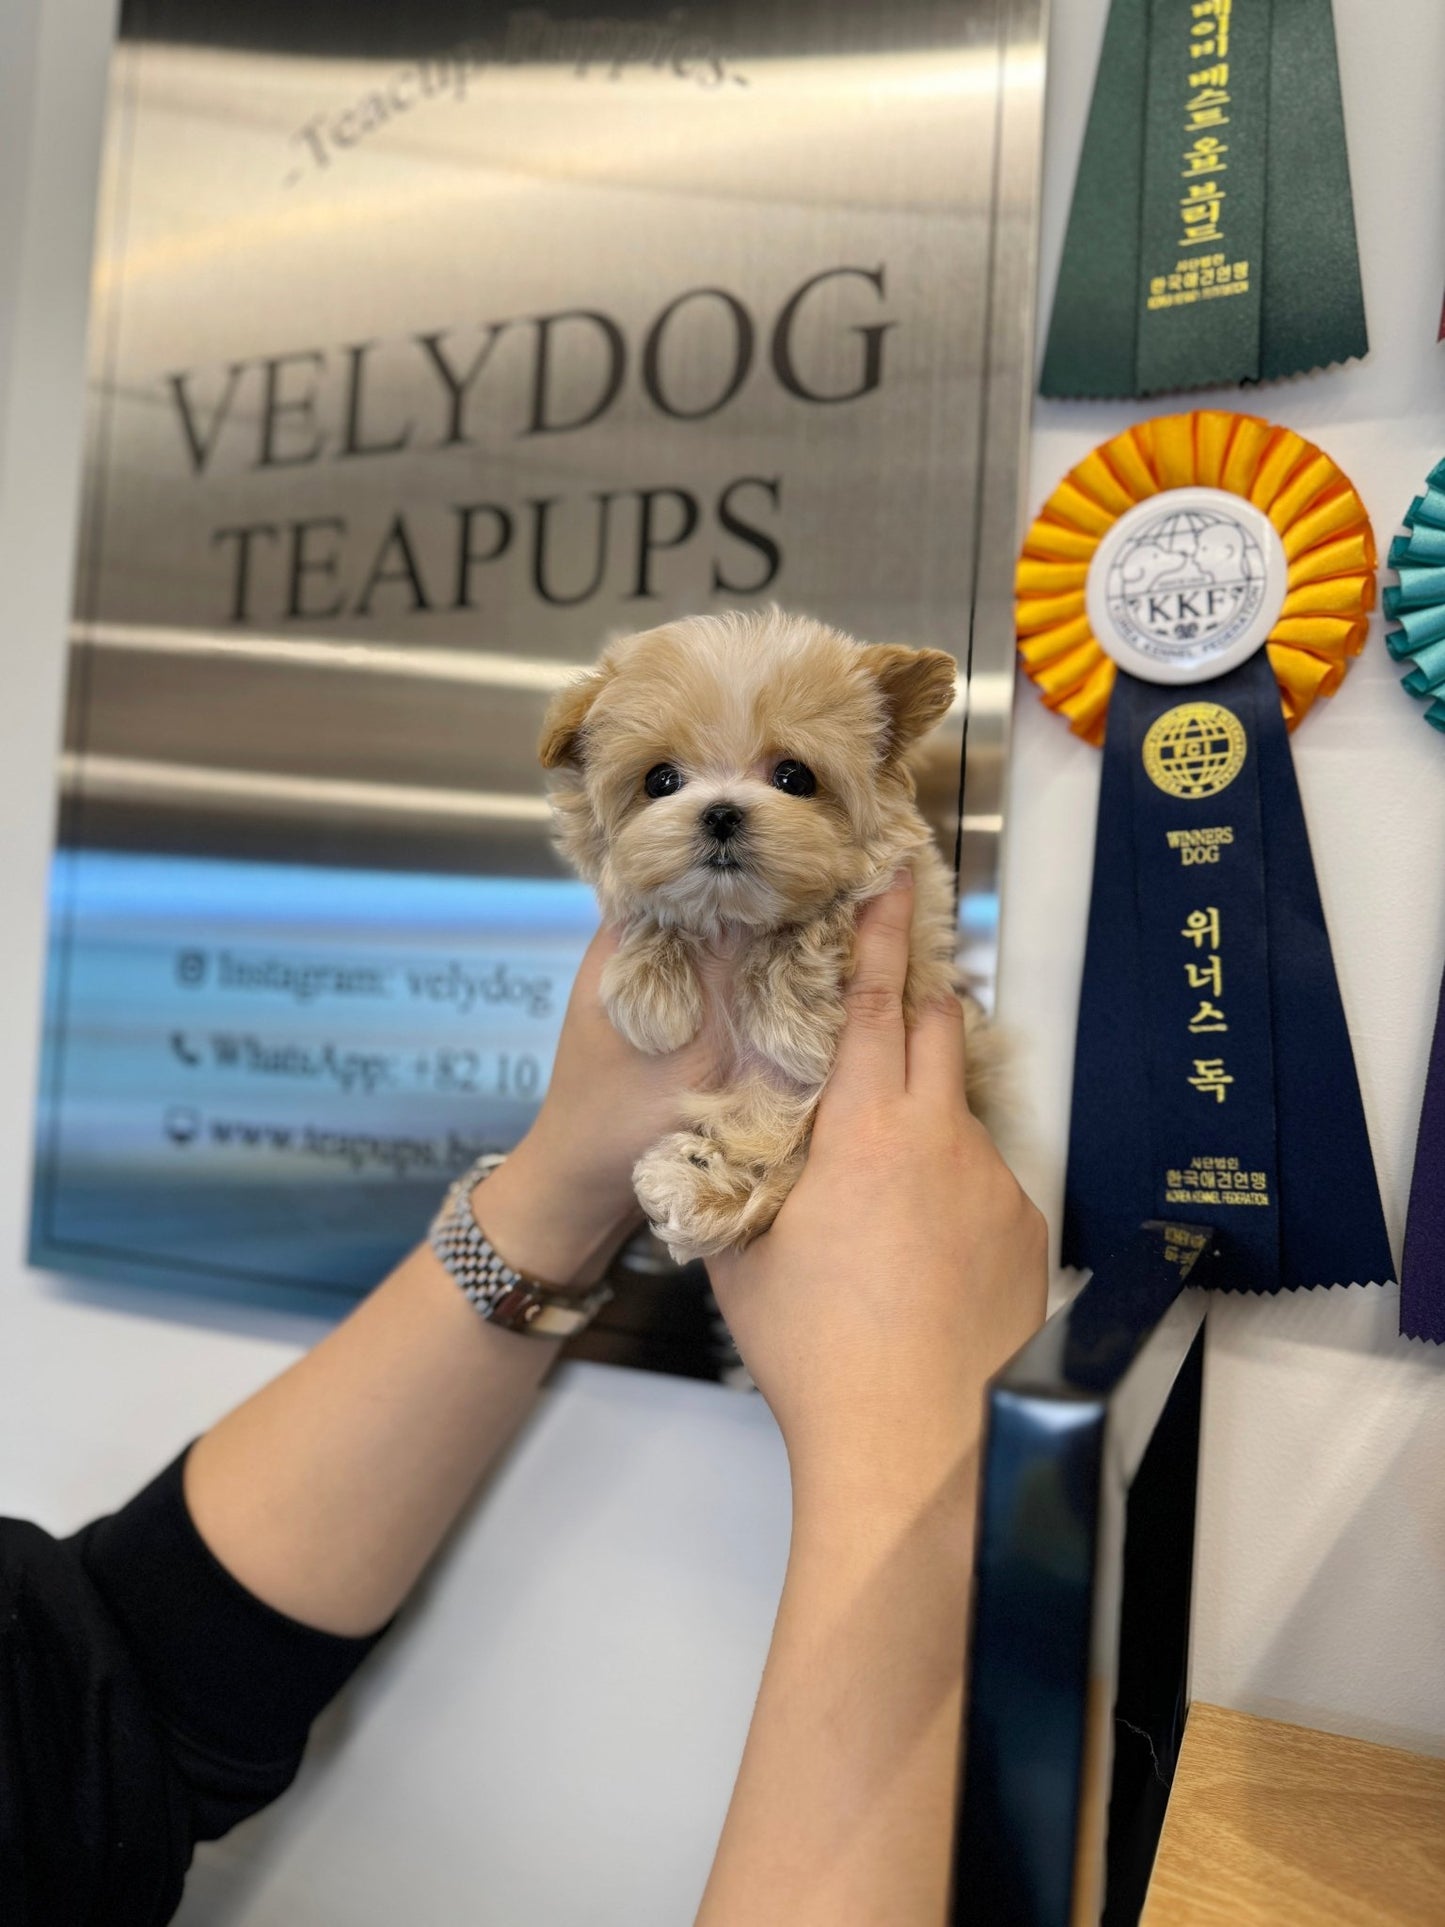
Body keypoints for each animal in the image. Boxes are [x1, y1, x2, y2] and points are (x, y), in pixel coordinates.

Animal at [539, 608, 1001, 1256]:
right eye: (660, 781)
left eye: (794, 777)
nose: (722, 813)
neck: (736, 920)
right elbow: (650, 911)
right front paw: (650, 992)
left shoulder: (913, 907)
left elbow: (817, 922)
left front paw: (791, 1019)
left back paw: (703, 1188)